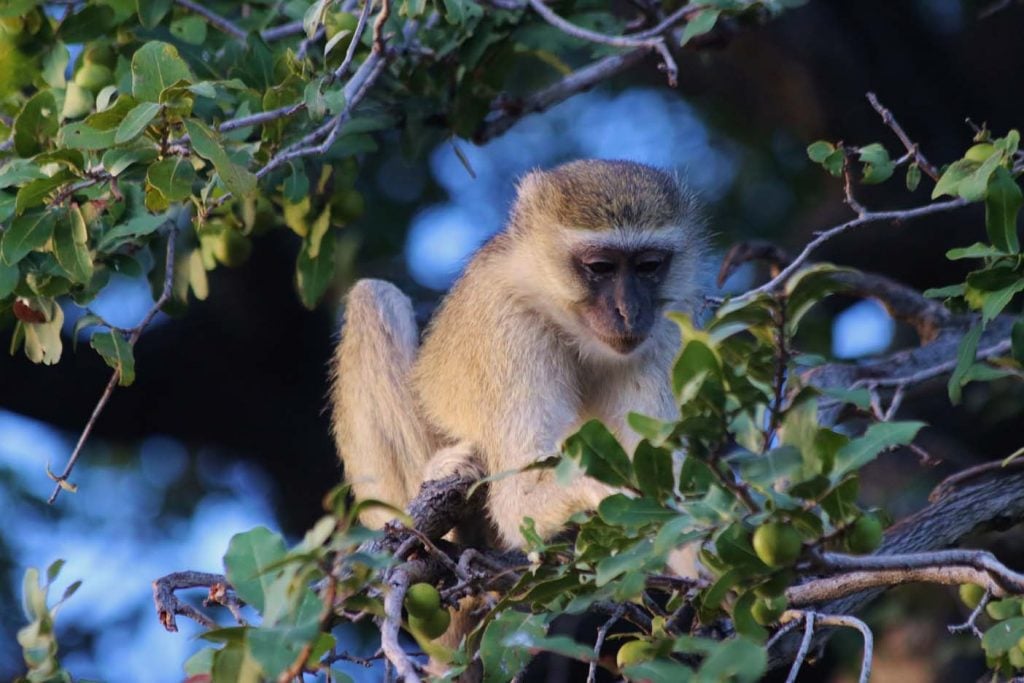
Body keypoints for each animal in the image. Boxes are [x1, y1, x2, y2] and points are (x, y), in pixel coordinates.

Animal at [331, 158, 708, 548]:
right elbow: (517, 499)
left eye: (648, 266)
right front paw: (609, 492)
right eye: (601, 267)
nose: (630, 312)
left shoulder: (668, 328)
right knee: (373, 297)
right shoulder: (511, 327)